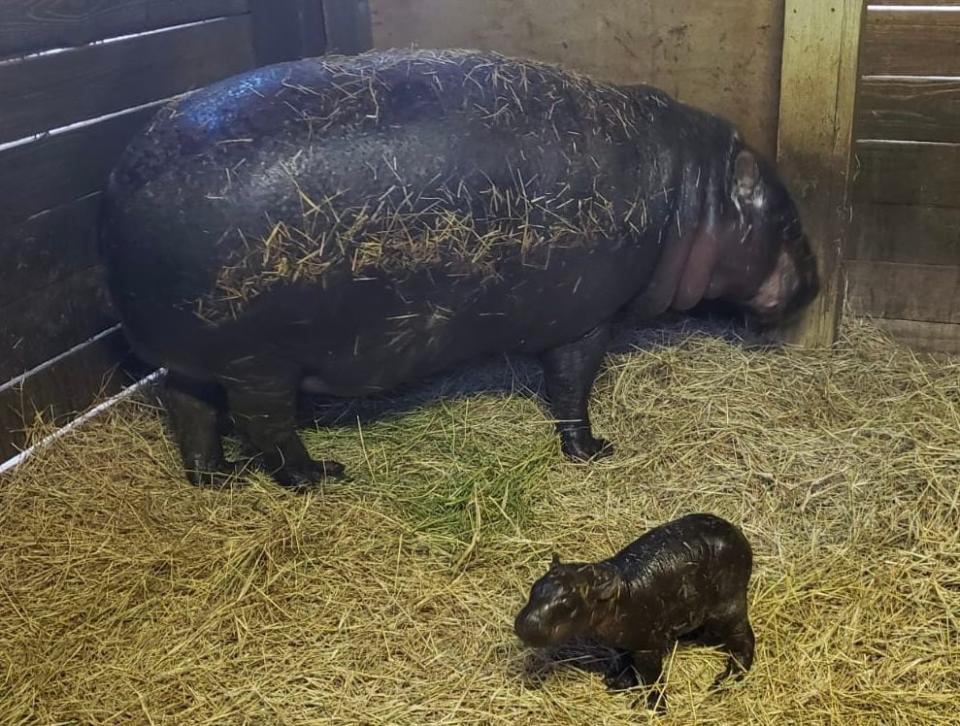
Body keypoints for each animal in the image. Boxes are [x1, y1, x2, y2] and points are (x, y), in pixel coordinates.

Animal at [99, 49, 816, 490]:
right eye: (786, 221)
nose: (815, 283)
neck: (692, 196)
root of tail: (114, 197)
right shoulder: (586, 319)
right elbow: (570, 389)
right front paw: (595, 451)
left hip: (194, 357)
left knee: (190, 409)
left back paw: (212, 479)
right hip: (259, 366)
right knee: (263, 427)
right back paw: (322, 475)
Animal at [512, 516, 752, 712]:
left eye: (568, 604)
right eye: (535, 587)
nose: (524, 624)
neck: (619, 594)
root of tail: (739, 534)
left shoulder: (647, 646)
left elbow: (652, 676)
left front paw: (653, 708)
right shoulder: (619, 640)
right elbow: (623, 659)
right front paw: (617, 683)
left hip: (728, 608)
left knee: (744, 639)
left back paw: (727, 679)